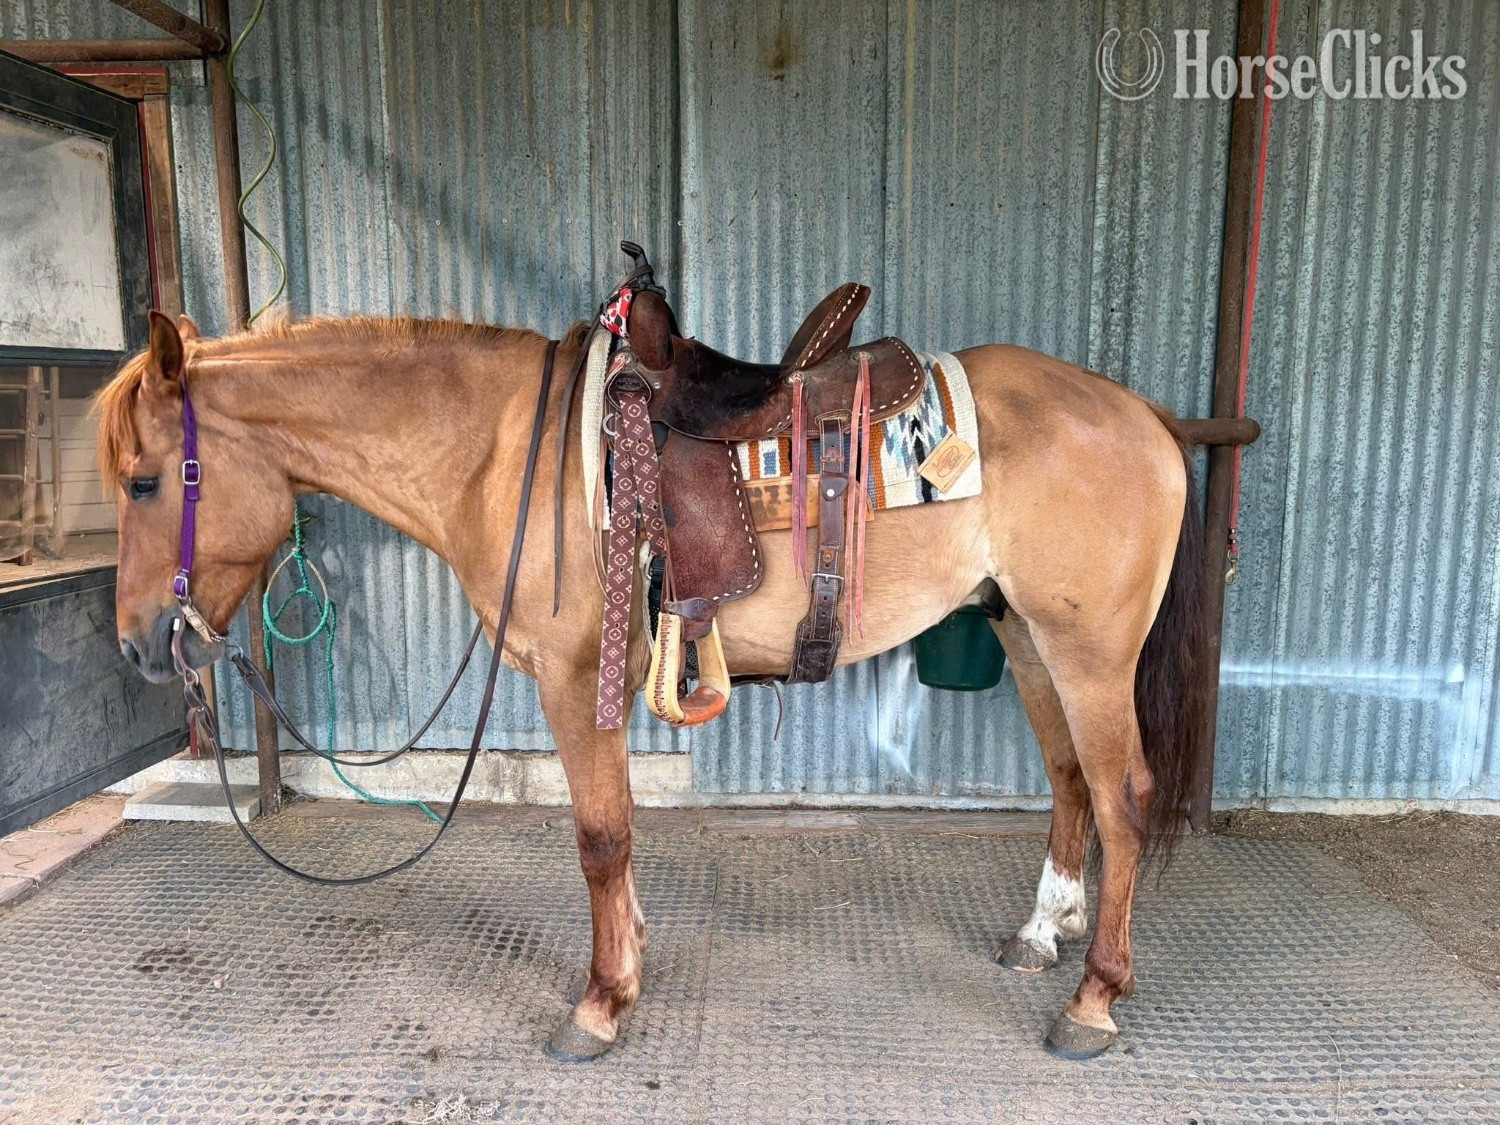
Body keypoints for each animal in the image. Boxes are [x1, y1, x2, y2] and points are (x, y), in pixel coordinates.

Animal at [98, 305, 1205, 1062]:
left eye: (145, 480)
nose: (142, 646)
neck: (504, 454)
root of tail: (1142, 413)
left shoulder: (571, 680)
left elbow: (598, 838)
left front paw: (599, 1002)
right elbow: (620, 834)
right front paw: (628, 957)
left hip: (1089, 653)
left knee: (1122, 797)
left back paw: (1095, 998)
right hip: (1028, 638)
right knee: (1069, 784)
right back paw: (1042, 934)